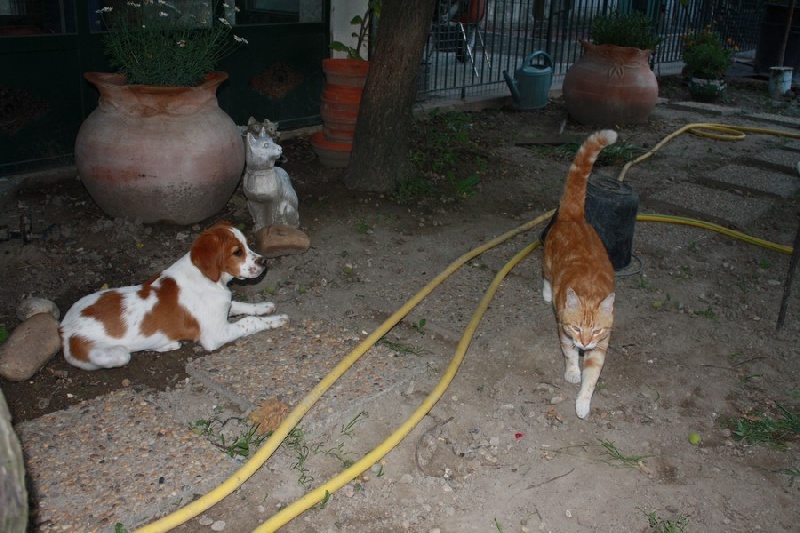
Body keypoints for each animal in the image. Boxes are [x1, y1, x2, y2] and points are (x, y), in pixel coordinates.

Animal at [58, 220, 288, 370]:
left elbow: (241, 305)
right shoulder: (215, 335)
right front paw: (277, 319)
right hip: (115, 354)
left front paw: (265, 307)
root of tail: (63, 327)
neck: (208, 279)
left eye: (247, 245)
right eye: (237, 252)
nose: (264, 262)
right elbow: (249, 321)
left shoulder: (224, 309)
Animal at [544, 130, 620, 420]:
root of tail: (574, 216)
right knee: (545, 276)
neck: (588, 290)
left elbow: (593, 376)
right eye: (577, 327)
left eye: (596, 330)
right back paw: (546, 292)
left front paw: (583, 401)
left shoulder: (601, 345)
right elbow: (568, 354)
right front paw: (573, 372)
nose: (585, 343)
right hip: (547, 262)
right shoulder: (565, 332)